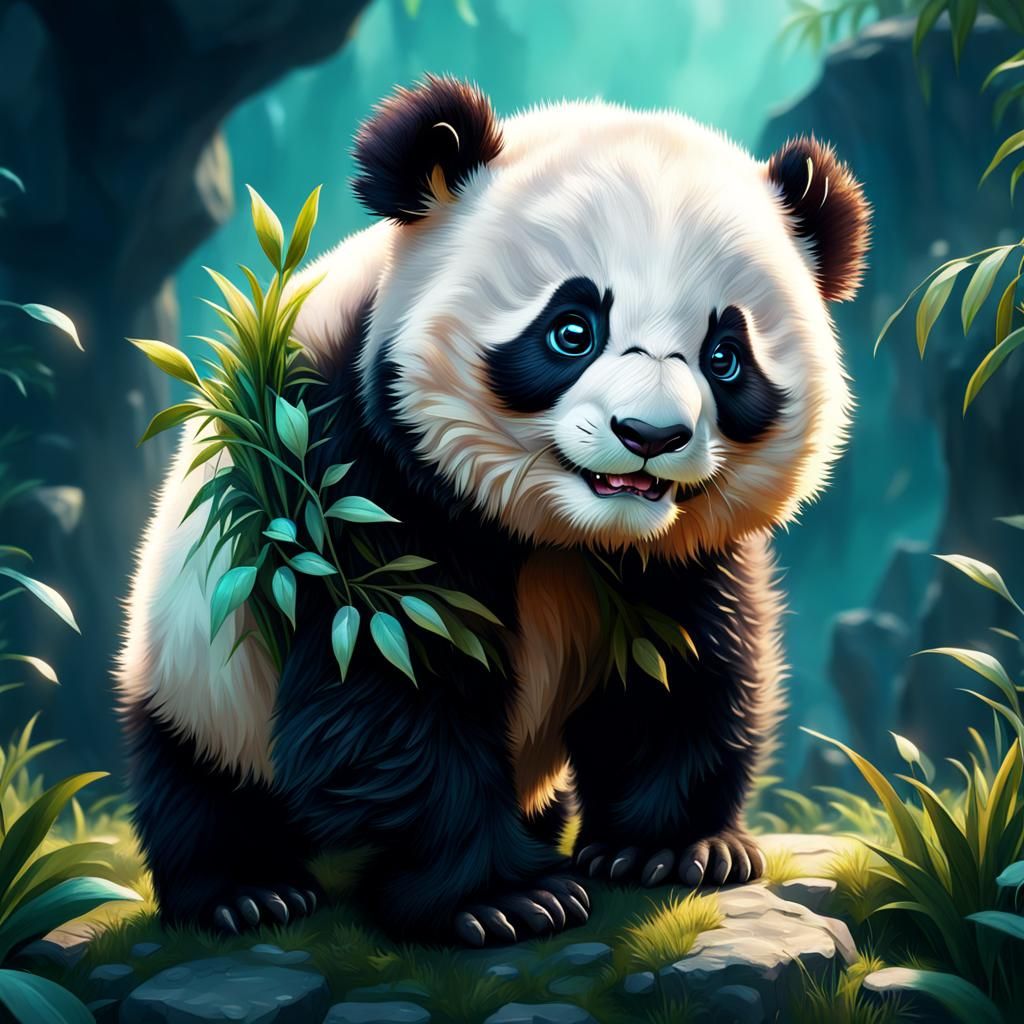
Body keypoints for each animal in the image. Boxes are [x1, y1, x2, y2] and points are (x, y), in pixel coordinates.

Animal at [117, 76, 868, 946]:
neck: (562, 534)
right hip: (200, 665)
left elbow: (685, 666)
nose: (650, 436)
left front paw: (670, 850)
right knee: (198, 781)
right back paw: (247, 891)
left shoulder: (674, 557)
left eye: (725, 354)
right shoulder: (341, 482)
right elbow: (388, 688)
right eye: (572, 330)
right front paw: (504, 900)